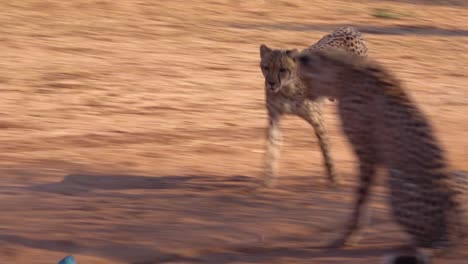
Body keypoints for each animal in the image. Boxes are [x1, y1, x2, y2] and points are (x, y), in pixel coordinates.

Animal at [260, 26, 366, 188]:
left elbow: (326, 150)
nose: (271, 83)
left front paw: (335, 179)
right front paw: (268, 178)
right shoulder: (275, 117)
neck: (287, 88)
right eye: (266, 67)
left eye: (282, 69)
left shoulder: (317, 120)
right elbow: (272, 146)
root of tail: (349, 28)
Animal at [296, 48, 464, 255]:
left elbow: (361, 200)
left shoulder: (367, 154)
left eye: (303, 78)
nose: (305, 95)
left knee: (427, 242)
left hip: (397, 180)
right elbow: (364, 199)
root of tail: (452, 234)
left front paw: (345, 238)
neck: (345, 75)